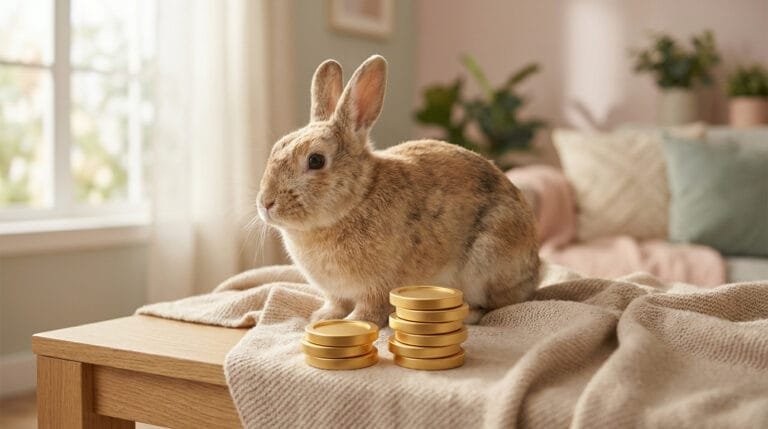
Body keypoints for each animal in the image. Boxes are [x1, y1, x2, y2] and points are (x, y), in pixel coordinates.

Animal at [256, 55, 540, 327]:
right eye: (275, 148)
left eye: (316, 160)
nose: (266, 203)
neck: (359, 198)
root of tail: (535, 271)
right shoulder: (337, 293)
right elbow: (336, 304)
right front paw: (322, 318)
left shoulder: (379, 287)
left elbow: (370, 309)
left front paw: (354, 322)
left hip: (486, 259)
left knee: (498, 304)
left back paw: (468, 314)